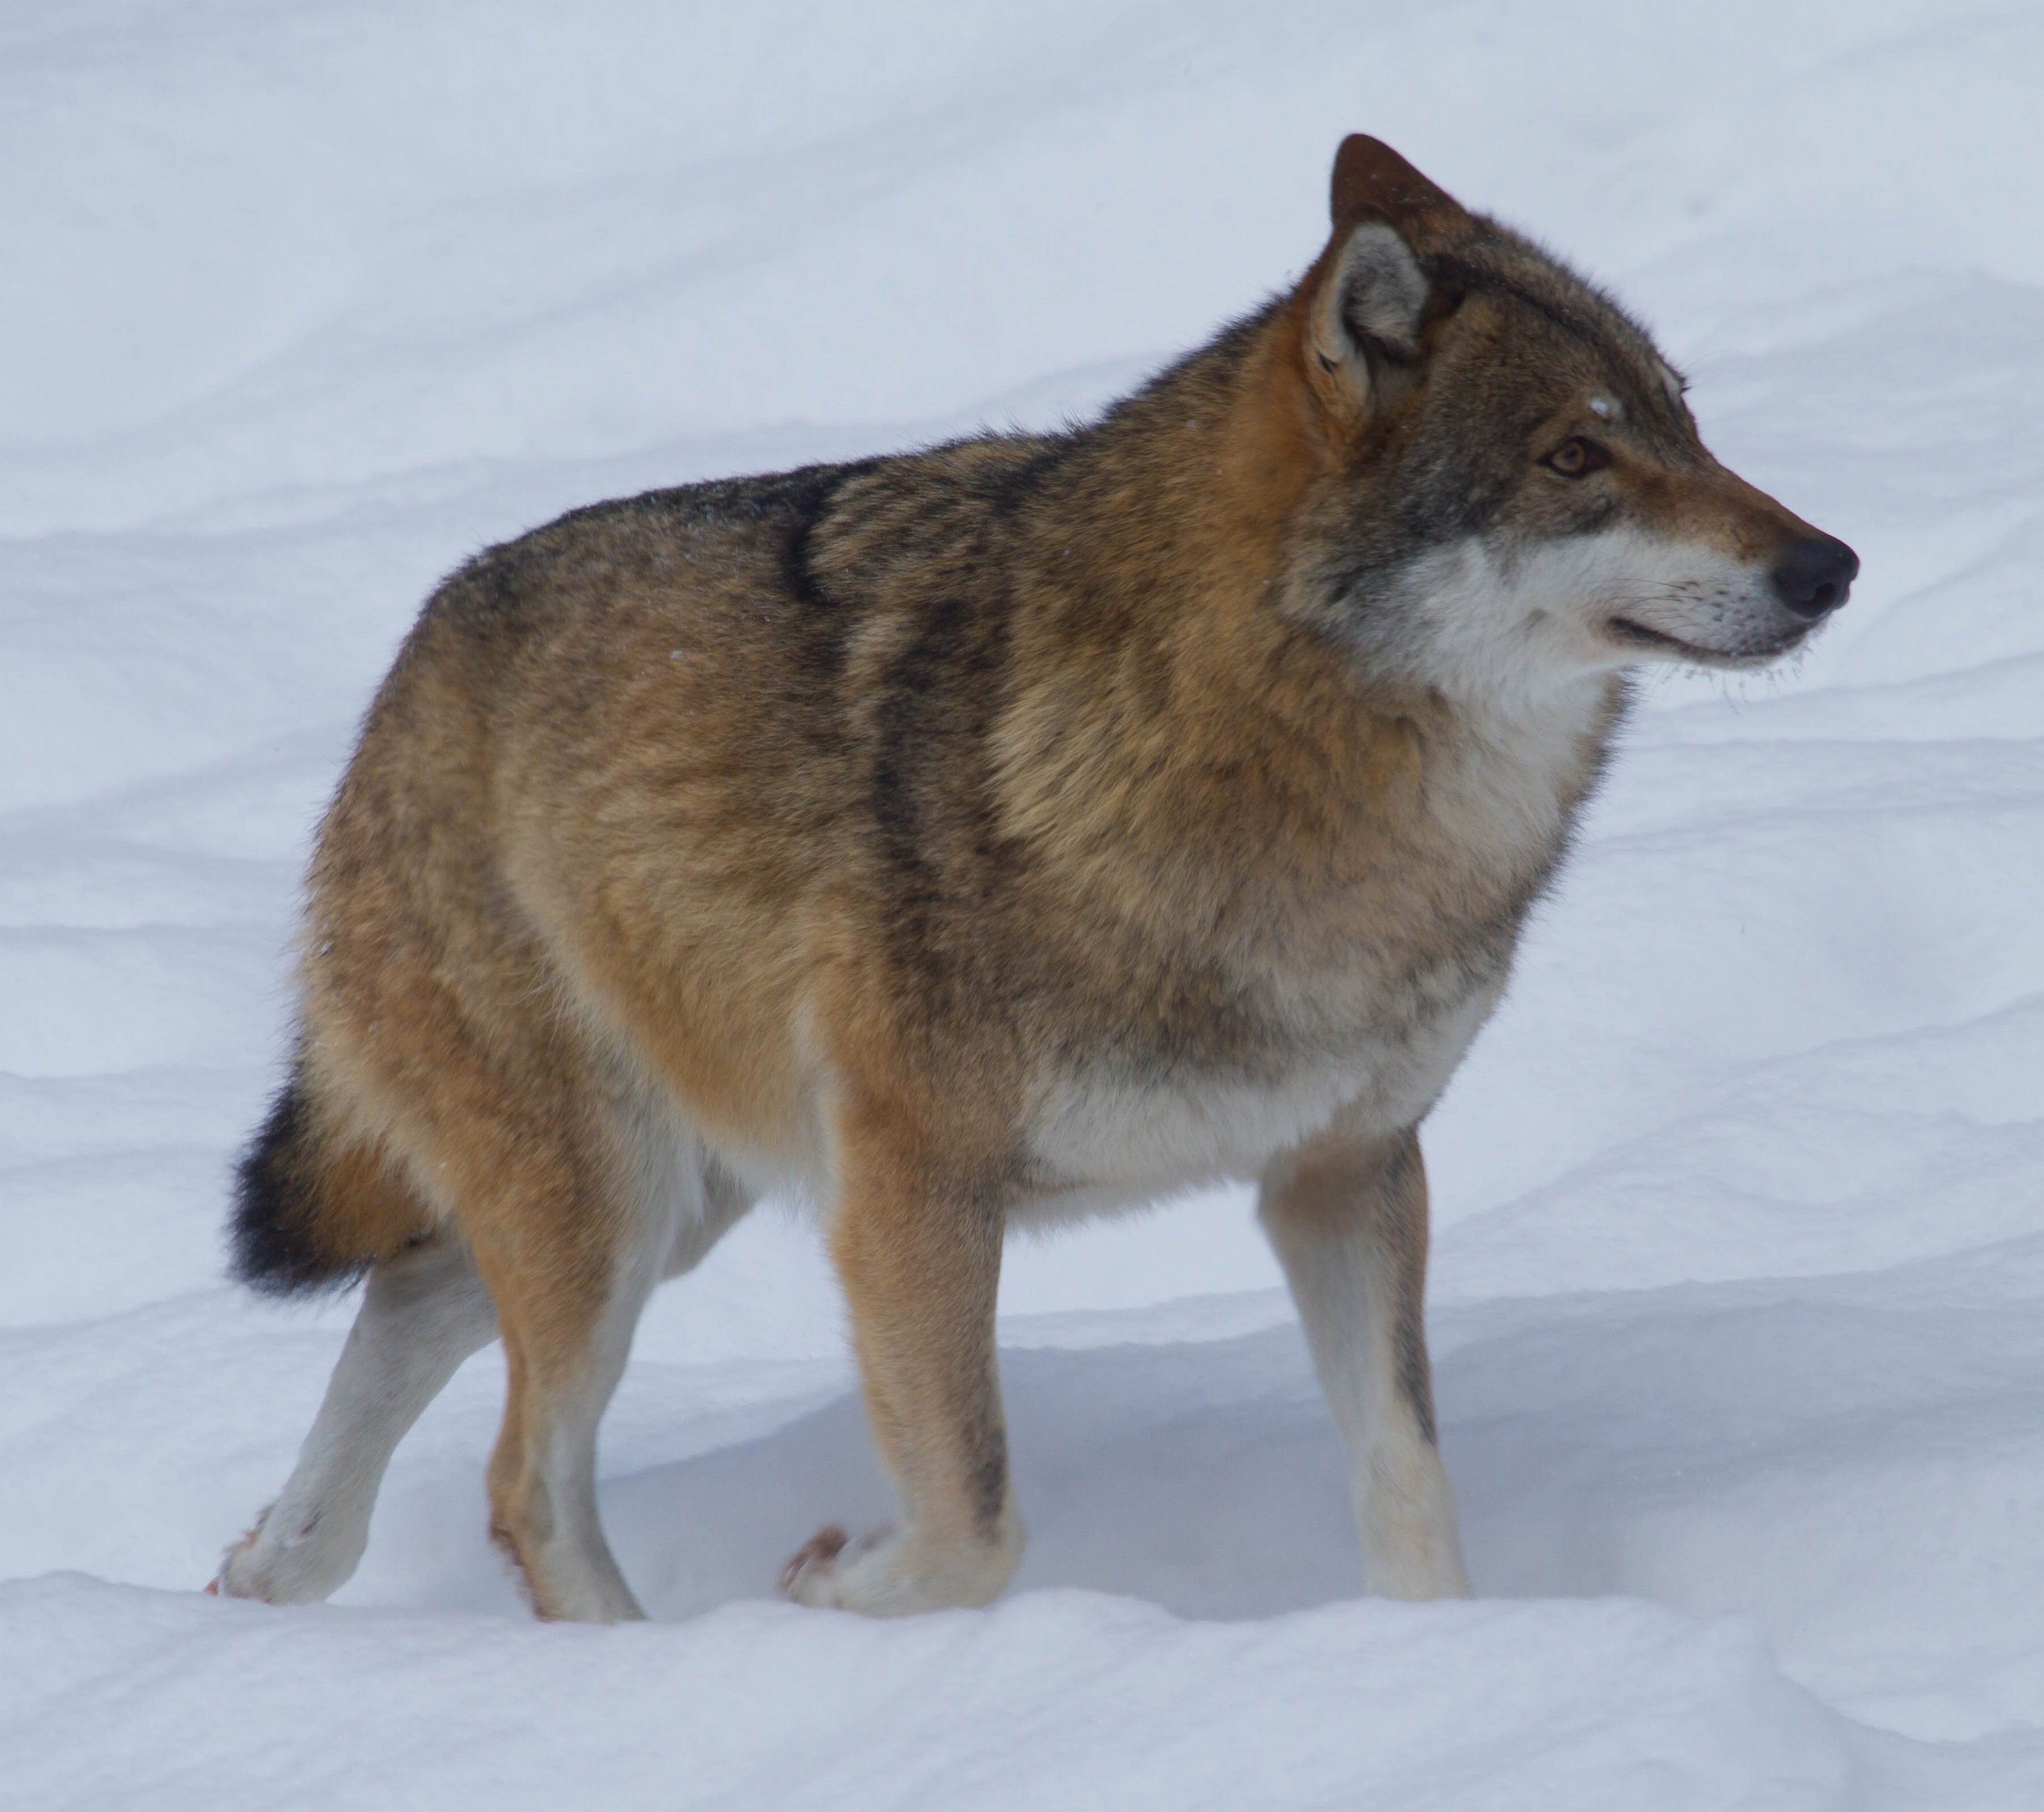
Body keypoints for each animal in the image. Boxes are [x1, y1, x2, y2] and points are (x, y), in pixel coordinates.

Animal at [211, 137, 1854, 1621]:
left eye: (1685, 419)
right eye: (1574, 457)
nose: (1829, 566)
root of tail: (410, 657)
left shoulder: (1344, 1173)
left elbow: (1404, 1476)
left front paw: (1437, 1656)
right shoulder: (910, 1188)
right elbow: (974, 1520)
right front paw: (831, 1589)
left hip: (678, 1197)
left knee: (400, 1318)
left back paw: (266, 1574)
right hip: (618, 1207)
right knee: (524, 1480)